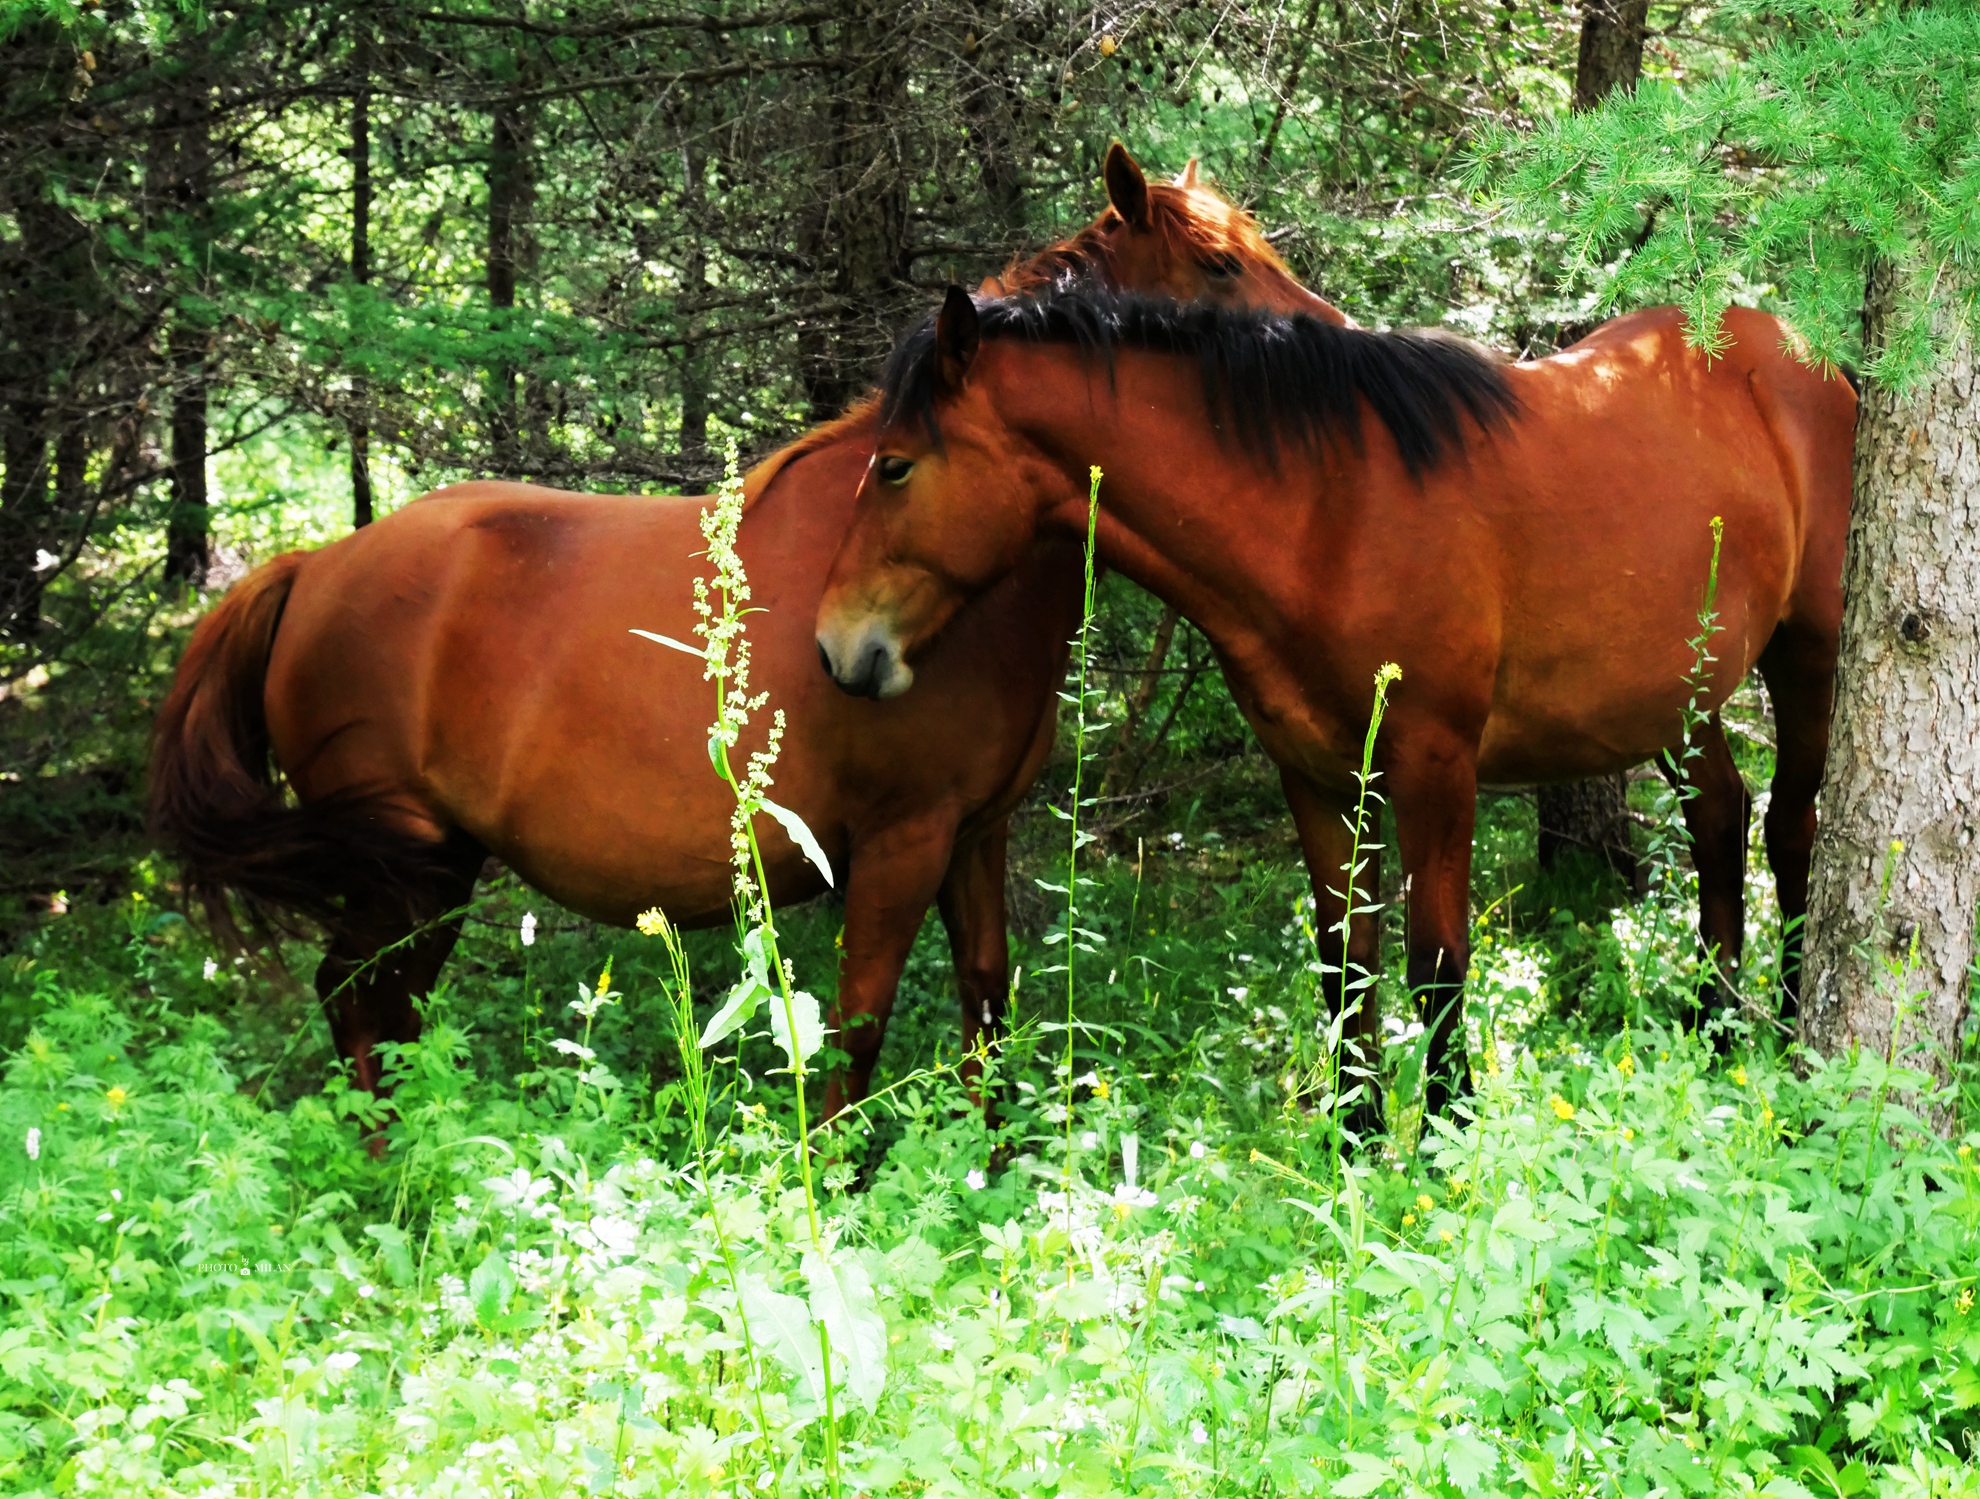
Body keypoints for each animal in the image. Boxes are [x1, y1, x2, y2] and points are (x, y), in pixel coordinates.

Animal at [150, 146, 1330, 1116]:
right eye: (1220, 265)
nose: (1328, 336)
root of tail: (311, 569)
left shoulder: (972, 834)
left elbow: (986, 1017)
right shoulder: (900, 843)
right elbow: (856, 1034)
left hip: (423, 874)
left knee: (377, 1014)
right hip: (407, 875)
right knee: (358, 1005)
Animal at [815, 283, 1853, 1124]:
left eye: (895, 465)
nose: (835, 646)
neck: (1329, 512)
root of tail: (1809, 358)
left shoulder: (1434, 768)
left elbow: (1437, 965)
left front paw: (1443, 1141)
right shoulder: (1315, 776)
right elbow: (1345, 965)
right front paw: (1355, 1147)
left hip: (1810, 658)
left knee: (1791, 834)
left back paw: (1792, 1043)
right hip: (1678, 697)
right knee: (1720, 820)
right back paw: (1713, 1042)